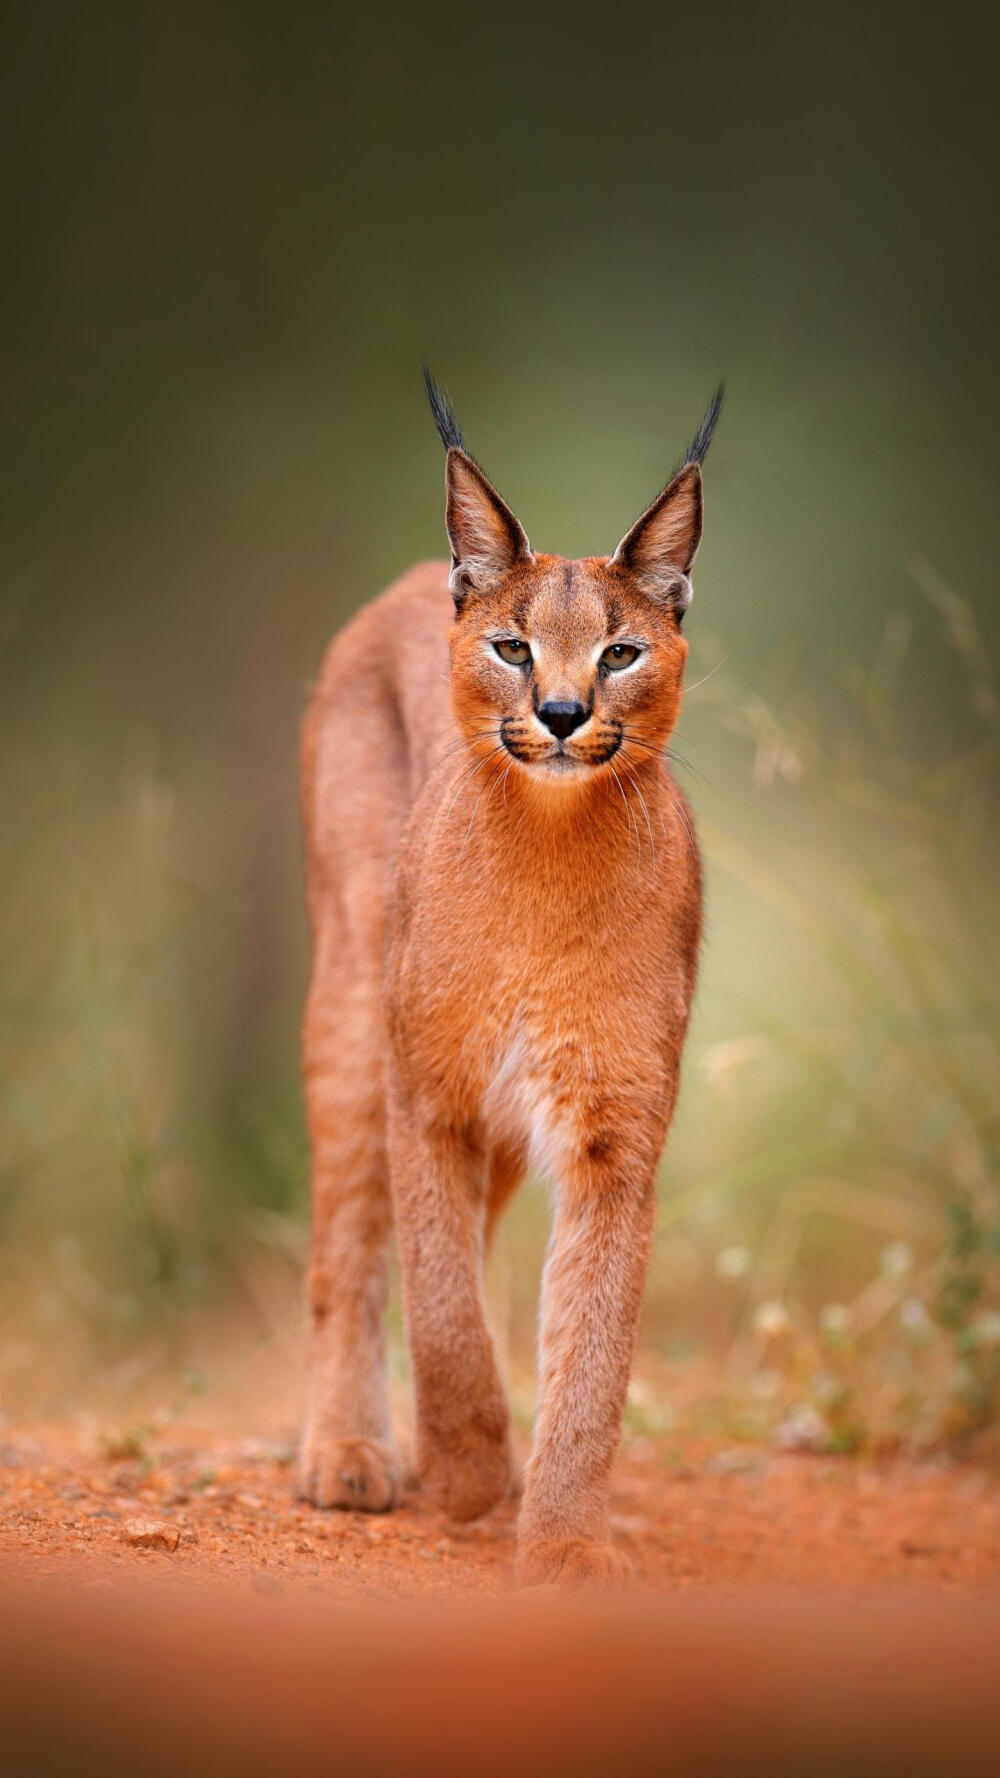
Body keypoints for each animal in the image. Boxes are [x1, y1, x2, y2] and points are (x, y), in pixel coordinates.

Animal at [295, 378, 715, 1585]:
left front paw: (563, 1534)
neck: (548, 851)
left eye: (620, 653)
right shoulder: (427, 1088)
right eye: (512, 646)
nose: (564, 715)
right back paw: (349, 1449)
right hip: (350, 1009)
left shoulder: (613, 1129)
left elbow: (592, 1347)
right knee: (347, 1247)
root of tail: (402, 581)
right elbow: (439, 1300)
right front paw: (470, 1470)